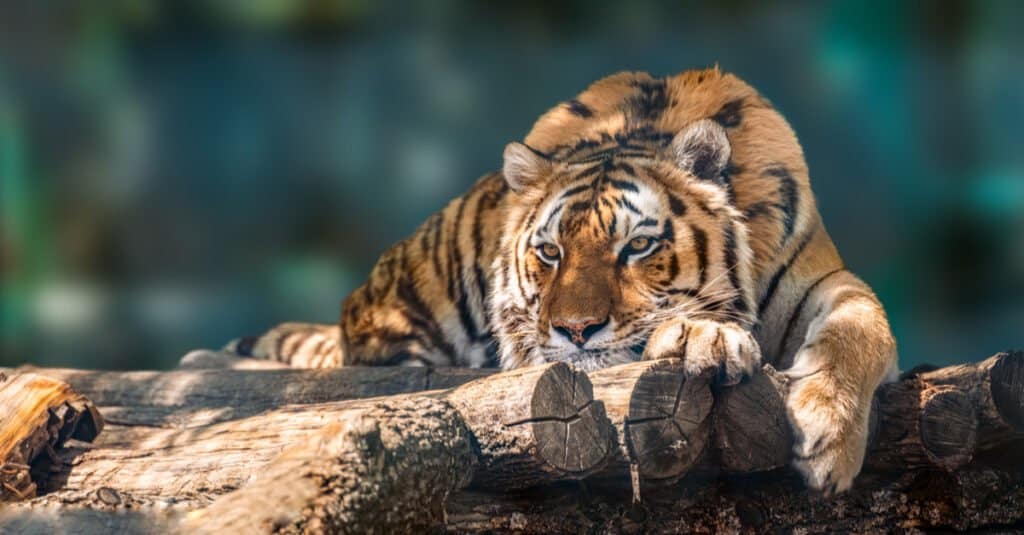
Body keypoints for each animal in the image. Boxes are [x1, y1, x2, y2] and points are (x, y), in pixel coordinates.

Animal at [222, 67, 897, 496]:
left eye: (638, 246)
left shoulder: (825, 279)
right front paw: (699, 337)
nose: (575, 330)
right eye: (549, 252)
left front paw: (826, 440)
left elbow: (865, 324)